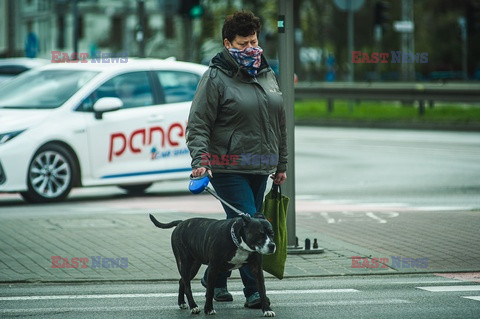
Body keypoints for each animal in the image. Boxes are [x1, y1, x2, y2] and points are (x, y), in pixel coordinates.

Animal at [150, 212, 278, 318]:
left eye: (272, 234)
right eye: (260, 234)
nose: (272, 245)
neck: (239, 242)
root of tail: (181, 223)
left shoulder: (257, 269)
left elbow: (262, 290)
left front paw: (267, 309)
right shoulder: (213, 268)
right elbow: (210, 291)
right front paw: (208, 309)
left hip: (193, 266)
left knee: (182, 281)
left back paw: (181, 303)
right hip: (184, 263)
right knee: (187, 285)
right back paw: (193, 306)